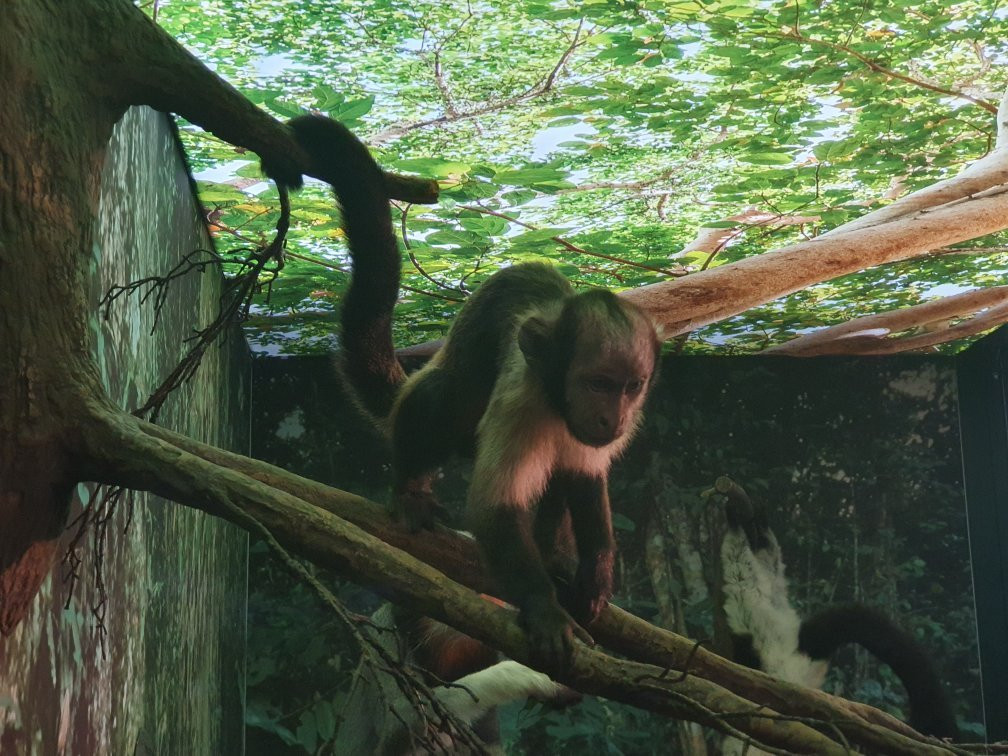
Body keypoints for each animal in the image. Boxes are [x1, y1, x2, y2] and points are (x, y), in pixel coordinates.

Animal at [266, 113, 661, 661]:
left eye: (630, 386)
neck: (557, 399)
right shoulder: (521, 396)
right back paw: (411, 488)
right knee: (444, 400)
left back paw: (554, 555)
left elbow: (584, 478)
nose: (613, 416)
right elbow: (494, 507)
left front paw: (595, 574)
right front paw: (543, 608)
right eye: (598, 384)